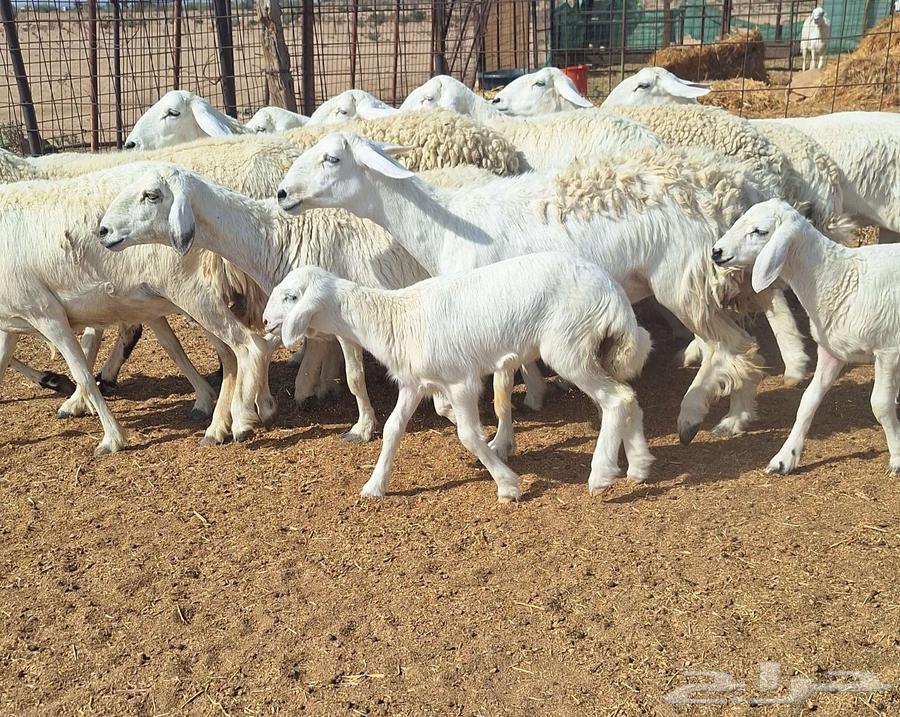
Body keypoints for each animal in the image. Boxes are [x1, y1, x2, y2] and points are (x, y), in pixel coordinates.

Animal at [0, 165, 276, 452]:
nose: (102, 232)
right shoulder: (10, 320)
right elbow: (3, 363)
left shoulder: (46, 313)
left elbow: (83, 373)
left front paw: (112, 437)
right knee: (236, 350)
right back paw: (241, 411)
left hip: (194, 295)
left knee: (246, 346)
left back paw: (241, 417)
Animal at [263, 255, 653, 501]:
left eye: (291, 296)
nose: (265, 321)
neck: (394, 319)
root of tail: (613, 294)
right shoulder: (414, 383)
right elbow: (392, 429)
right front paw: (375, 486)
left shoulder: (460, 382)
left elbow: (468, 434)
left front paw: (507, 485)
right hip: (596, 349)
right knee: (629, 396)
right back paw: (639, 466)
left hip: (569, 345)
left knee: (615, 399)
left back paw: (601, 475)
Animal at [277, 131, 783, 445]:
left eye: (332, 158)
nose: (282, 194)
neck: (443, 225)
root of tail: (739, 191)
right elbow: (514, 366)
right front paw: (529, 403)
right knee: (742, 345)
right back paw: (738, 415)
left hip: (687, 280)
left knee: (734, 346)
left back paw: (708, 416)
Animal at [712, 198, 900, 474]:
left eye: (760, 231)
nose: (716, 252)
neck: (837, 278)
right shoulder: (831, 351)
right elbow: (807, 401)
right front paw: (784, 457)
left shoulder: (887, 350)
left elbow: (880, 405)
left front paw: (897, 457)